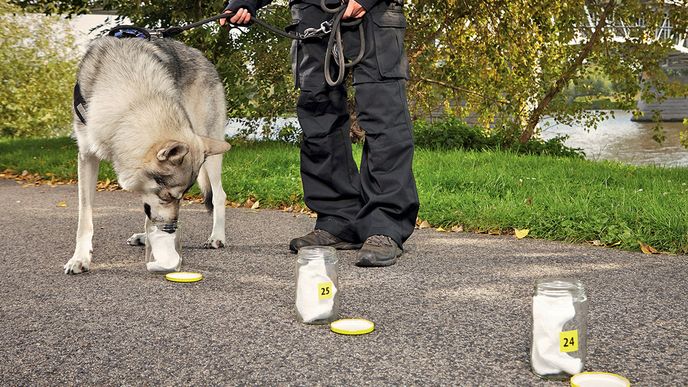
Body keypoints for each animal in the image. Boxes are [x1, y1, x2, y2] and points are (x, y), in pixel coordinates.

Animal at [65, 34, 231, 274]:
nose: (171, 229)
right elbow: (84, 217)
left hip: (211, 150)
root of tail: (202, 56)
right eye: (168, 196)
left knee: (220, 195)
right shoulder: (87, 156)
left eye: (180, 196)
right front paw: (80, 258)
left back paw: (217, 237)